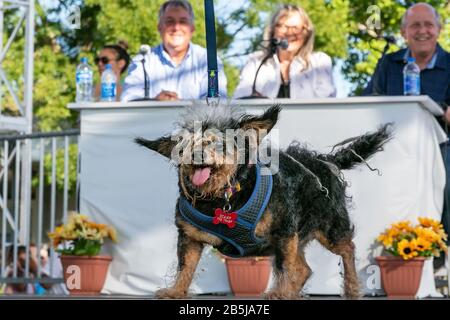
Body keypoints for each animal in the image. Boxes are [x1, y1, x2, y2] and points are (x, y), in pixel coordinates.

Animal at [135, 104, 392, 298]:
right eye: (185, 145)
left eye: (217, 142)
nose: (196, 154)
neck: (221, 199)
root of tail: (325, 160)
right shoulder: (189, 237)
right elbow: (185, 267)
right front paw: (175, 292)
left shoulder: (283, 232)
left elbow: (283, 268)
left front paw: (279, 292)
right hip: (299, 235)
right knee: (304, 269)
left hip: (329, 228)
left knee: (347, 249)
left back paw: (351, 287)